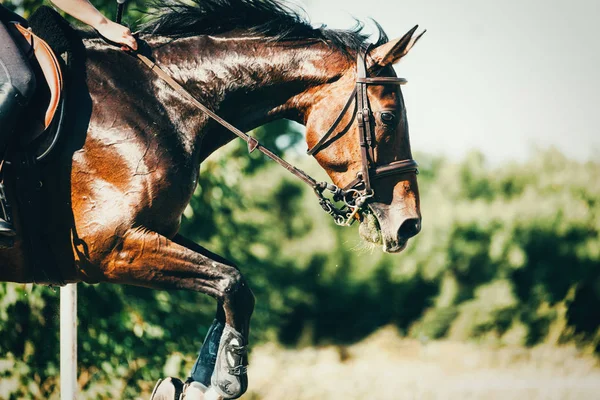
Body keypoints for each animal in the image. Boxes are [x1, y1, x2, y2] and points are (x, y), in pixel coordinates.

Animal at [0, 1, 422, 398]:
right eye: (388, 117)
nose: (410, 224)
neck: (158, 99)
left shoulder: (154, 232)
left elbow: (234, 286)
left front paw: (196, 386)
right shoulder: (110, 248)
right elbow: (232, 284)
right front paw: (225, 384)